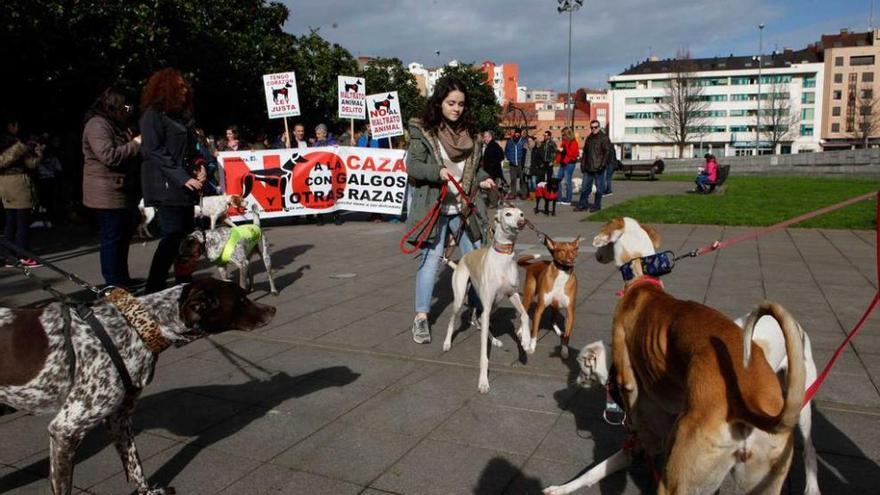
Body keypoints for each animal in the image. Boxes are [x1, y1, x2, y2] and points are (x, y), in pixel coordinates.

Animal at [0, 280, 276, 494]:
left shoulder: (119, 419)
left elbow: (135, 466)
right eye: (242, 300)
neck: (136, 327)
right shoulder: (65, 430)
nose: (273, 309)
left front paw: (148, 491)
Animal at [444, 205, 532, 396]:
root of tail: (462, 259)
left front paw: (526, 342)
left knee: (481, 318)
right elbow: (484, 356)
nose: (521, 222)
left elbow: (525, 315)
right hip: (460, 298)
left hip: (493, 305)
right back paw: (447, 343)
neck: (503, 257)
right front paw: (483, 382)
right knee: (453, 319)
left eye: (522, 214)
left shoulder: (512, 294)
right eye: (508, 214)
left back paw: (493, 338)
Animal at [576, 219, 804, 495]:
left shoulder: (625, 370)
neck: (642, 278)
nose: (595, 254)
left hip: (678, 474)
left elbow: (629, 399)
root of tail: (748, 404)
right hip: (764, 475)